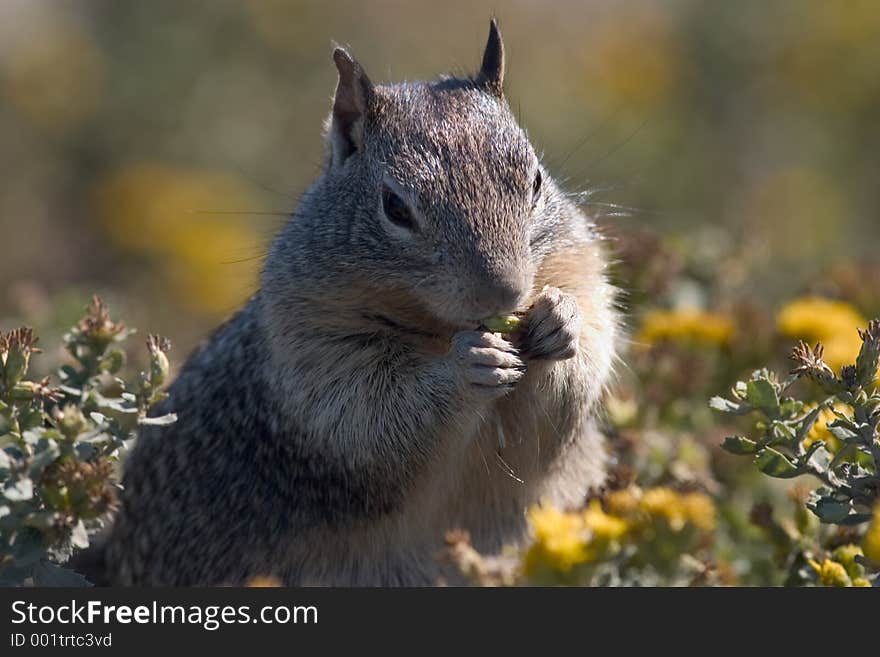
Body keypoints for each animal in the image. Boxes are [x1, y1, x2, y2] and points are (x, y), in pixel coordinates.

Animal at [103, 19, 620, 584]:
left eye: (536, 181)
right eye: (395, 207)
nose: (505, 292)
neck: (439, 328)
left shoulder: (578, 266)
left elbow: (564, 404)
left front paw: (560, 320)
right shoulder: (311, 347)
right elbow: (371, 422)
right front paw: (469, 365)